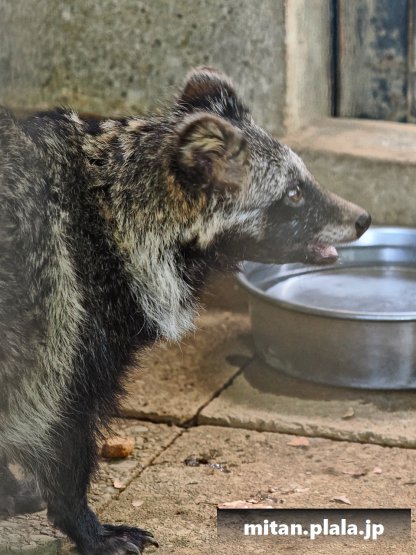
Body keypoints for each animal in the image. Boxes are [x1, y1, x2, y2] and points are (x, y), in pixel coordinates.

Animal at [0, 67, 370, 554]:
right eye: (292, 194)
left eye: (302, 183)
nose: (363, 218)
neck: (115, 208)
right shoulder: (72, 314)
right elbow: (61, 423)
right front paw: (82, 521)